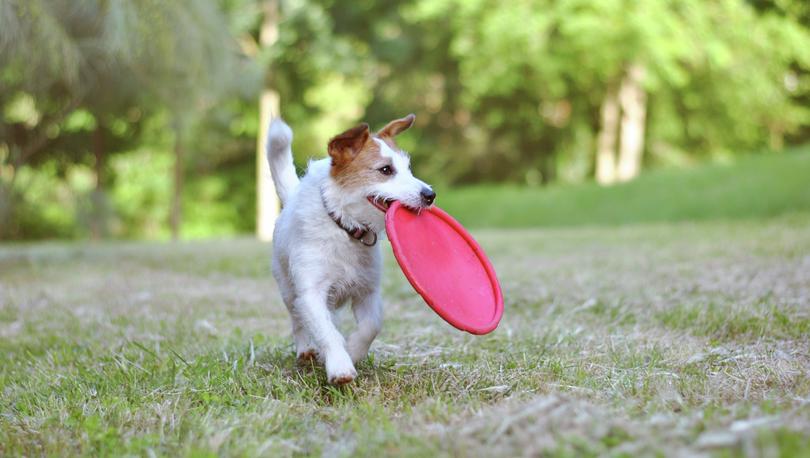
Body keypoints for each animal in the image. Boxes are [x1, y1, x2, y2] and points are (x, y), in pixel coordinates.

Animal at [266, 113, 436, 382]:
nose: (430, 195)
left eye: (408, 168)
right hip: (287, 288)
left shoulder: (368, 291)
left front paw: (353, 350)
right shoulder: (311, 293)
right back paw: (305, 350)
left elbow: (371, 326)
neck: (345, 228)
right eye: (386, 170)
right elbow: (326, 331)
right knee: (297, 319)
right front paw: (340, 366)